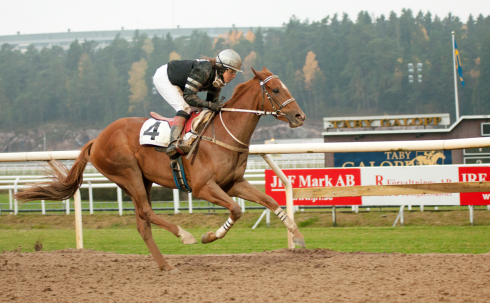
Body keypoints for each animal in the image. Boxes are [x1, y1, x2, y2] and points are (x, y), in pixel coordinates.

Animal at [16, 68, 306, 274]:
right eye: (276, 89)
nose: (300, 116)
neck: (223, 134)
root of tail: (96, 139)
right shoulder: (203, 188)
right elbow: (235, 210)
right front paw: (208, 236)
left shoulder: (233, 184)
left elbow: (270, 201)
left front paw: (298, 236)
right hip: (128, 173)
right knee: (147, 212)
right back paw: (184, 235)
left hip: (139, 180)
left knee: (143, 225)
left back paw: (166, 265)